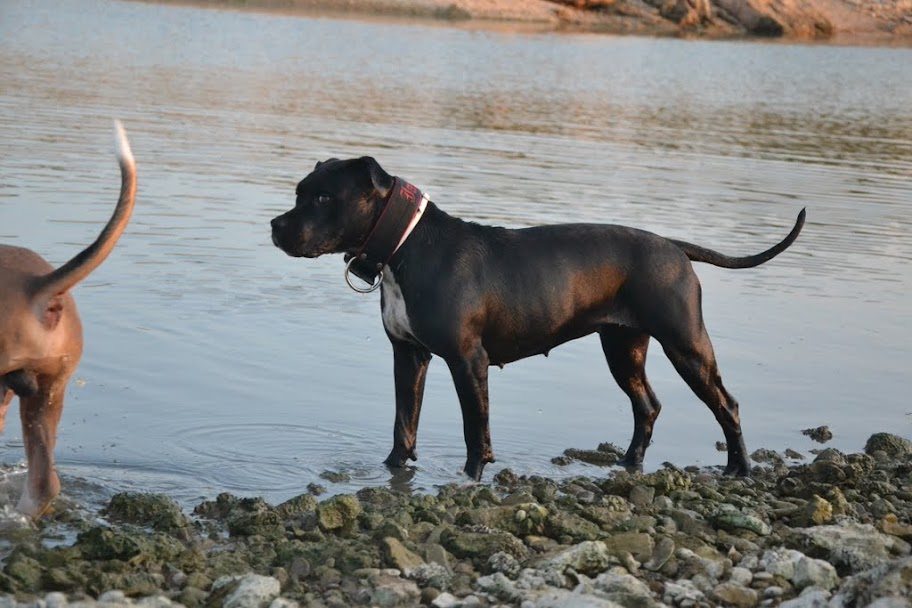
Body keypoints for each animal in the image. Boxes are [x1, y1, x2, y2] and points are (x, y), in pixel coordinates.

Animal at [270, 157, 804, 480]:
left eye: (323, 198)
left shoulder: (468, 361)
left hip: (687, 346)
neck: (405, 246)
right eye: (299, 192)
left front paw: (472, 476)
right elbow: (404, 423)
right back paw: (629, 462)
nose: (276, 225)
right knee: (647, 405)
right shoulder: (409, 356)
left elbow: (475, 427)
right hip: (624, 349)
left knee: (726, 404)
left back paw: (738, 469)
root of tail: (674, 247)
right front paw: (392, 470)